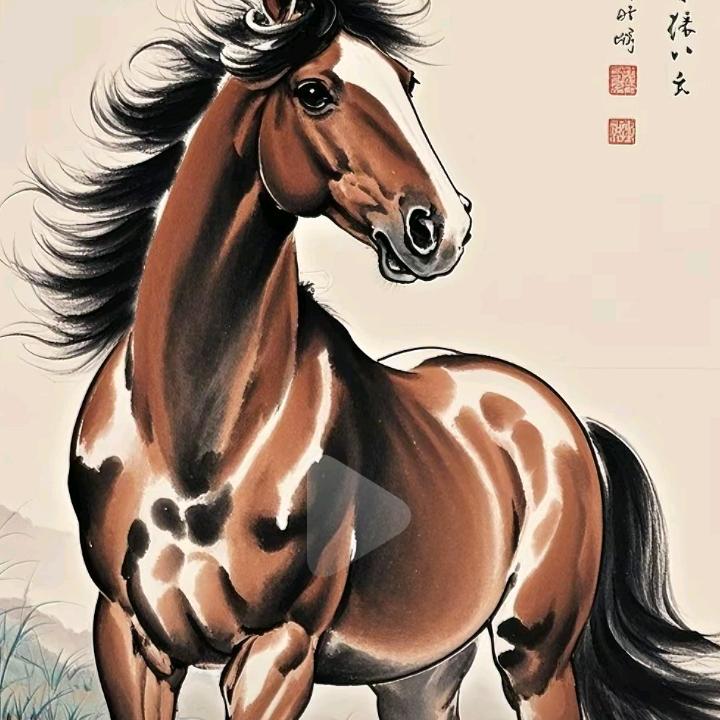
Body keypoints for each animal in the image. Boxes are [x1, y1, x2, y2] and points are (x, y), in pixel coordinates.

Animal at [8, 0, 720, 718]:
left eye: (406, 83)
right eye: (313, 92)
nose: (442, 226)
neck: (195, 441)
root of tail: (570, 425)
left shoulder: (280, 652)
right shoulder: (129, 640)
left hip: (535, 660)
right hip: (419, 677)